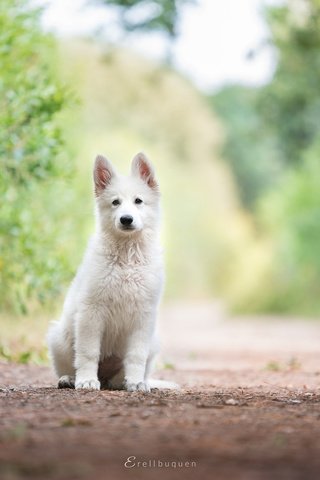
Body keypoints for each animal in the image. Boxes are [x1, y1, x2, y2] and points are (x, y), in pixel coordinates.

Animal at [48, 152, 175, 392]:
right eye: (115, 202)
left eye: (138, 201)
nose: (126, 219)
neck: (127, 257)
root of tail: (106, 378)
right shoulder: (91, 312)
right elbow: (88, 352)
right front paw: (87, 380)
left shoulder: (144, 315)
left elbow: (136, 356)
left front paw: (135, 382)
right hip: (59, 337)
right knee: (70, 364)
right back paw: (70, 379)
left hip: (154, 341)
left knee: (123, 374)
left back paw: (128, 382)